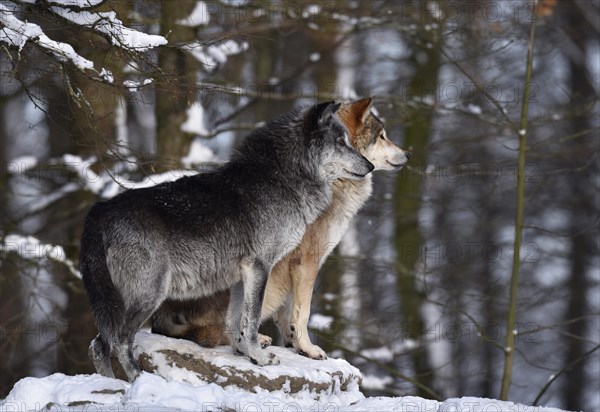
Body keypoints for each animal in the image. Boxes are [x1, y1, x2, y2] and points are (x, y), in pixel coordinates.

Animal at [77, 100, 372, 380]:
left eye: (347, 141)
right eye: (340, 142)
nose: (370, 166)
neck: (280, 179)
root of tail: (99, 210)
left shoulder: (242, 275)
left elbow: (236, 320)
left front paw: (245, 353)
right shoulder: (259, 267)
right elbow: (252, 320)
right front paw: (259, 356)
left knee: (98, 345)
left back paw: (112, 383)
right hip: (149, 294)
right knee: (119, 341)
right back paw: (140, 379)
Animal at [152, 96, 410, 358]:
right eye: (382, 136)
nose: (408, 154)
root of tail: (159, 318)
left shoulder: (291, 266)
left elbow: (289, 314)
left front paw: (294, 343)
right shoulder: (306, 261)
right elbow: (303, 311)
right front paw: (308, 348)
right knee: (212, 332)